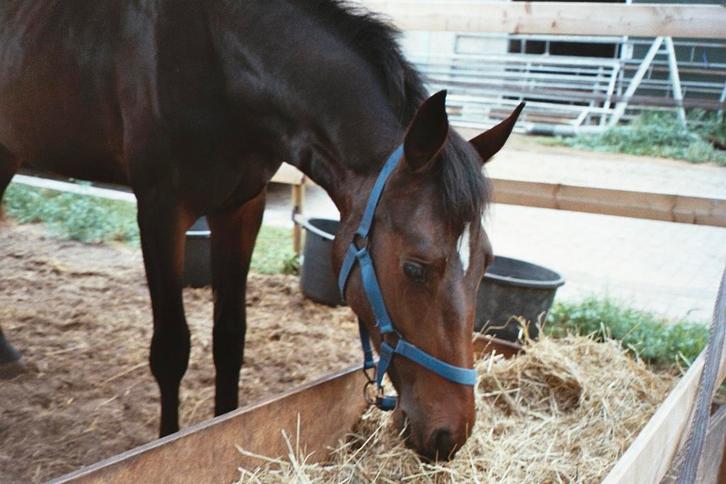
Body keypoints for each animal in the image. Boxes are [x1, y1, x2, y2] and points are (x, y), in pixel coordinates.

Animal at [0, 0, 522, 460]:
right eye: (415, 267)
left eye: (486, 263)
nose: (450, 434)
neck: (216, 61)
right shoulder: (160, 212)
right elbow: (171, 350)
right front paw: (169, 442)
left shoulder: (241, 209)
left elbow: (230, 338)